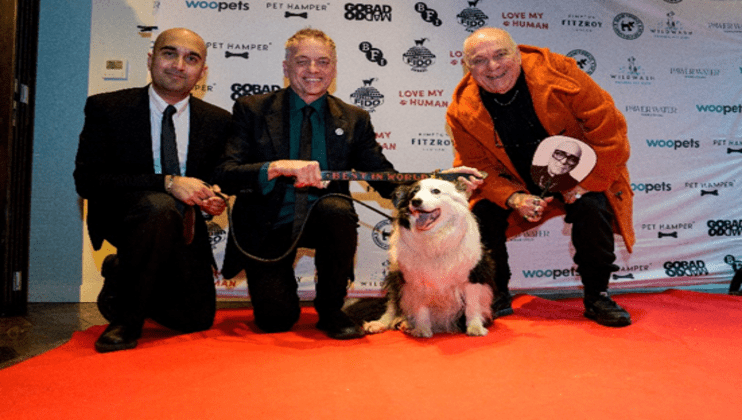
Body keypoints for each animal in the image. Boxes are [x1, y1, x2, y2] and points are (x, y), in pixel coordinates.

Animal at [368, 179, 500, 336]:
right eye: (413, 192)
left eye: (436, 191)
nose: (416, 201)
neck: (433, 241)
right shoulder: (414, 281)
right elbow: (420, 308)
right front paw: (422, 330)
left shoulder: (473, 276)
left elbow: (472, 306)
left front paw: (475, 327)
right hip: (395, 276)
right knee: (392, 305)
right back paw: (383, 323)